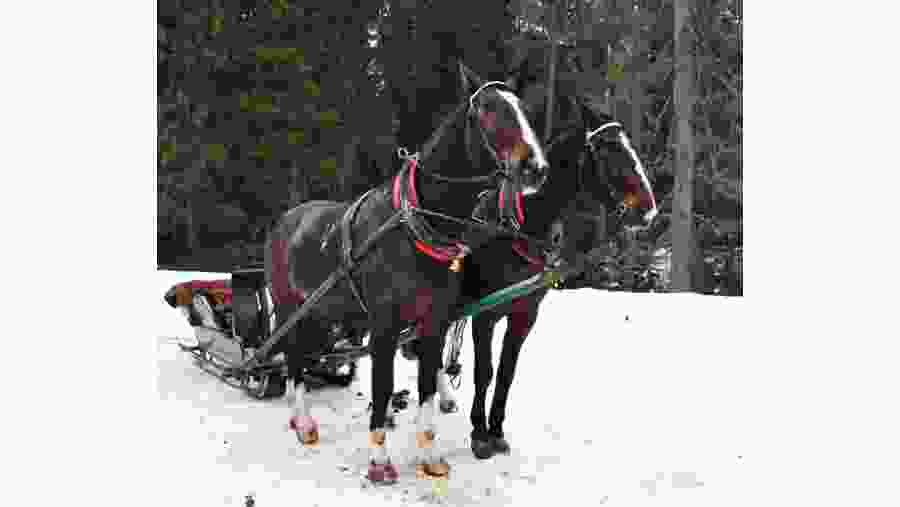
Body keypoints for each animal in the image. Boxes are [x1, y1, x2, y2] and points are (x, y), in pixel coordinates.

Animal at [264, 62, 550, 484]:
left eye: (525, 110)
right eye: (486, 109)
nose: (535, 168)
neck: (415, 226)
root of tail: (285, 220)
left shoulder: (433, 323)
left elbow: (428, 386)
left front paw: (430, 454)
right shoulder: (384, 325)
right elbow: (383, 388)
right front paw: (379, 460)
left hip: (321, 310)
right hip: (289, 307)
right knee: (295, 356)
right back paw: (303, 421)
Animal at [455, 70, 659, 460]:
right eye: (610, 151)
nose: (648, 209)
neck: (521, 228)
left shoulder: (525, 314)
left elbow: (506, 372)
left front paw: (496, 430)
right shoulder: (483, 314)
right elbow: (484, 371)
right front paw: (478, 433)